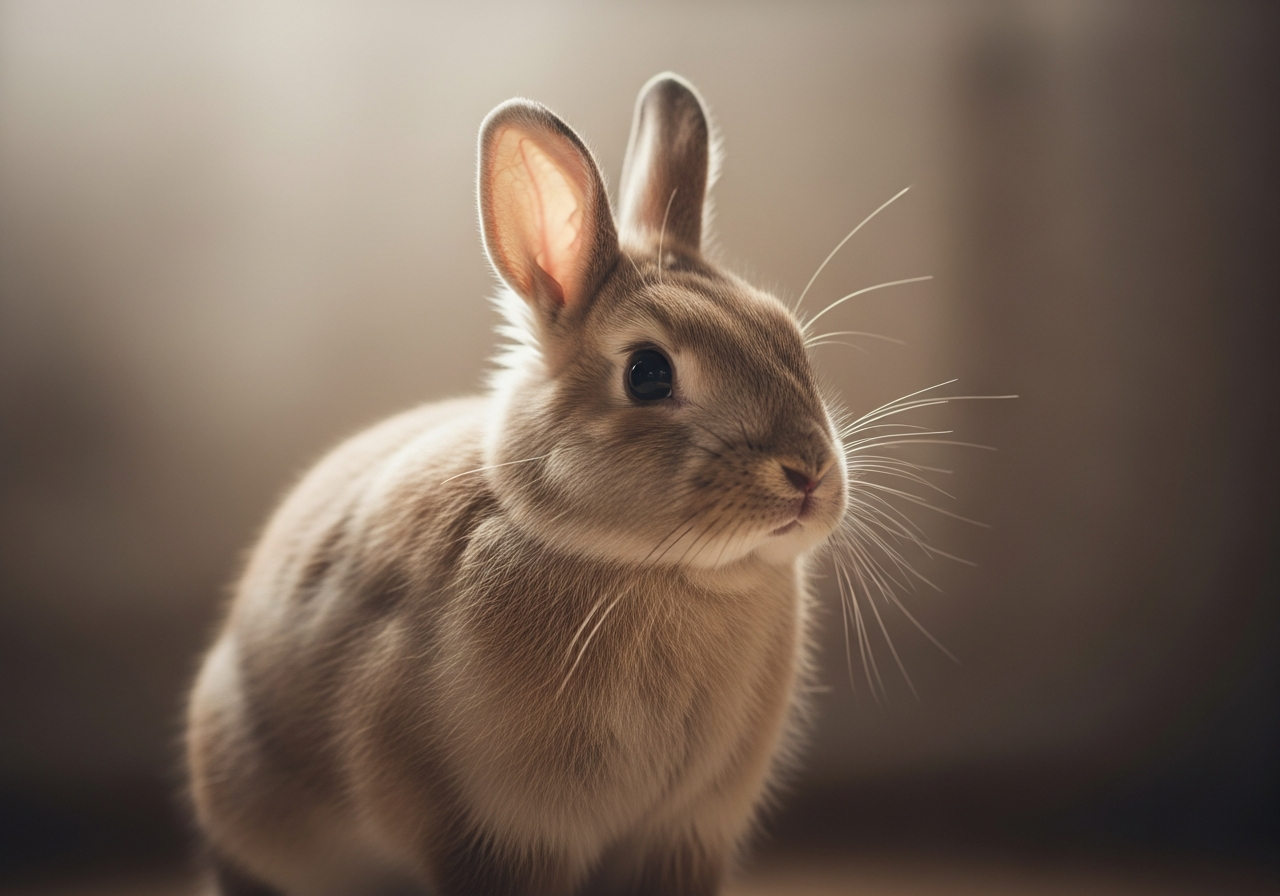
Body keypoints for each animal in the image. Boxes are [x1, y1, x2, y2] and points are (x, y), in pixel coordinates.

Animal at [185, 72, 849, 896]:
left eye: (787, 335)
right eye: (648, 373)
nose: (808, 473)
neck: (661, 571)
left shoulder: (686, 833)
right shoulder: (500, 837)